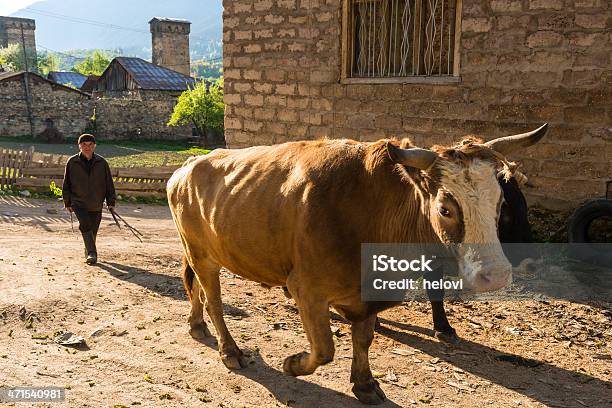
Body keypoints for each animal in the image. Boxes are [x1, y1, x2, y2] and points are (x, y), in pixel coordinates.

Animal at [167, 125, 548, 404]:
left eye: (499, 204)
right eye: (445, 208)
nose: (495, 276)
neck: (372, 211)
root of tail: (188, 165)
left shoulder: (367, 294)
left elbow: (363, 338)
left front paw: (365, 384)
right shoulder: (306, 290)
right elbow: (324, 350)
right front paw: (293, 364)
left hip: (198, 252)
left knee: (196, 289)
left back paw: (196, 325)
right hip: (202, 255)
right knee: (215, 301)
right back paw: (229, 349)